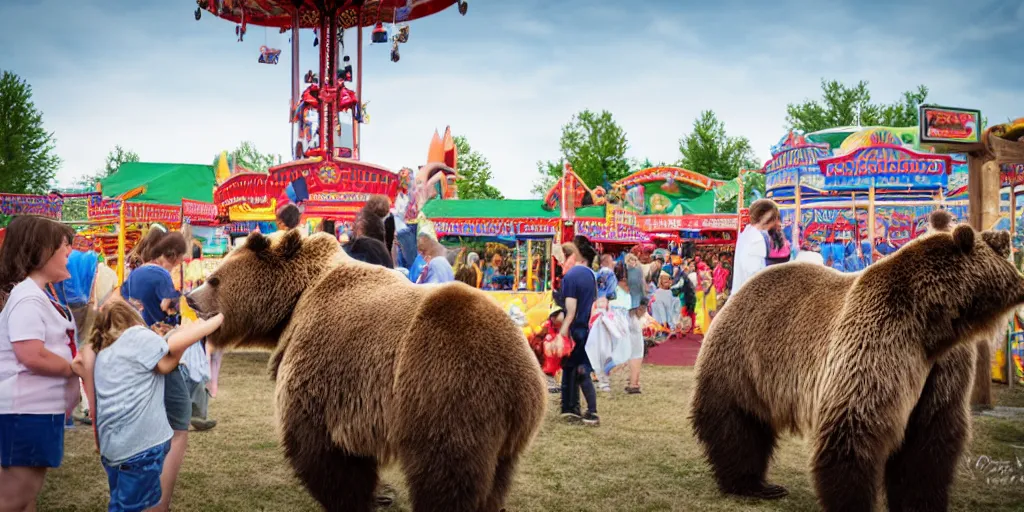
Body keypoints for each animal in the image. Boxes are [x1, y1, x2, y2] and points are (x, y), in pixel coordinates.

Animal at [188, 230, 548, 509]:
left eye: (215, 278)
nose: (190, 297)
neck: (297, 298)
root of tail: (522, 380)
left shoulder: (326, 365)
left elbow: (322, 449)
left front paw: (351, 498)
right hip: (505, 437)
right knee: (494, 481)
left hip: (446, 392)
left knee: (444, 476)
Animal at [688, 225, 1024, 512]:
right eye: (1001, 245)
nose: (1008, 236)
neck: (933, 324)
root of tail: (739, 291)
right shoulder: (881, 341)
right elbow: (855, 427)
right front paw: (853, 501)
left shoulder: (942, 368)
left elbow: (929, 442)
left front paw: (920, 502)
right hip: (740, 359)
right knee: (736, 425)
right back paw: (750, 484)